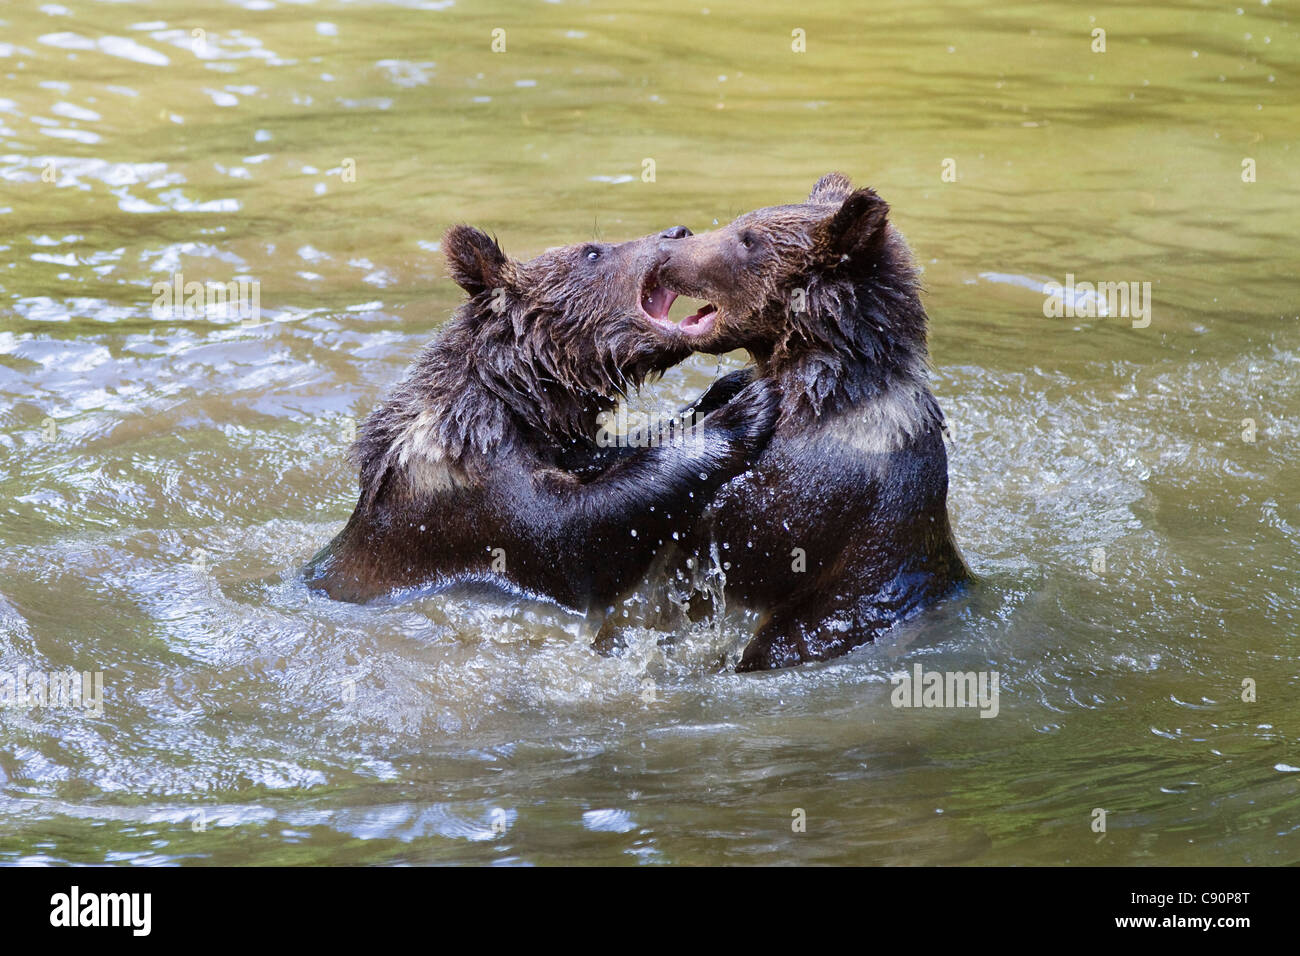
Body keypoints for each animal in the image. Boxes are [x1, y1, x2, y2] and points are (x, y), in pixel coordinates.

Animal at [301, 223, 780, 613]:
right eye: (593, 252)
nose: (677, 231)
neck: (515, 402)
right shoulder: (467, 492)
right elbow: (575, 536)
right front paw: (745, 410)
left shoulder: (563, 446)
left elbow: (613, 455)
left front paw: (728, 387)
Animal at [647, 171, 967, 671]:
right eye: (740, 224)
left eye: (747, 240)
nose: (667, 248)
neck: (820, 391)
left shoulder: (821, 487)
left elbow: (748, 540)